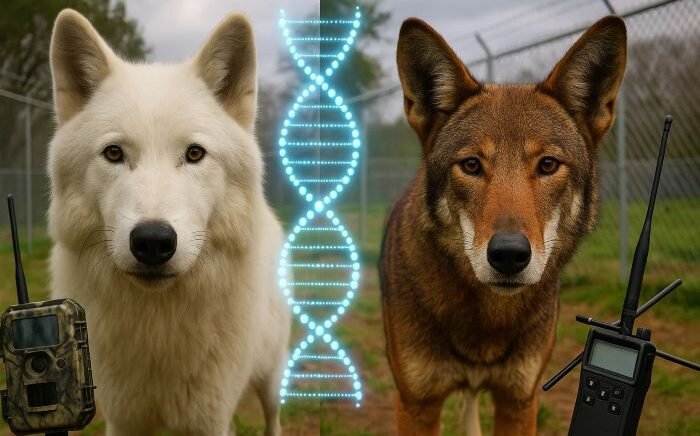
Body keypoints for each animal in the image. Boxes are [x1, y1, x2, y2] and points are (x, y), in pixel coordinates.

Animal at [47, 9, 290, 436]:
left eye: (194, 154)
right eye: (114, 153)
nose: (152, 241)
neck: (158, 325)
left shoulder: (209, 419)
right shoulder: (123, 418)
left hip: (270, 381)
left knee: (273, 419)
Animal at [380, 16, 627, 436]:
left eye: (547, 164)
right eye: (471, 165)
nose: (509, 255)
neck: (486, 322)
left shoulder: (518, 399)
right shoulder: (417, 404)